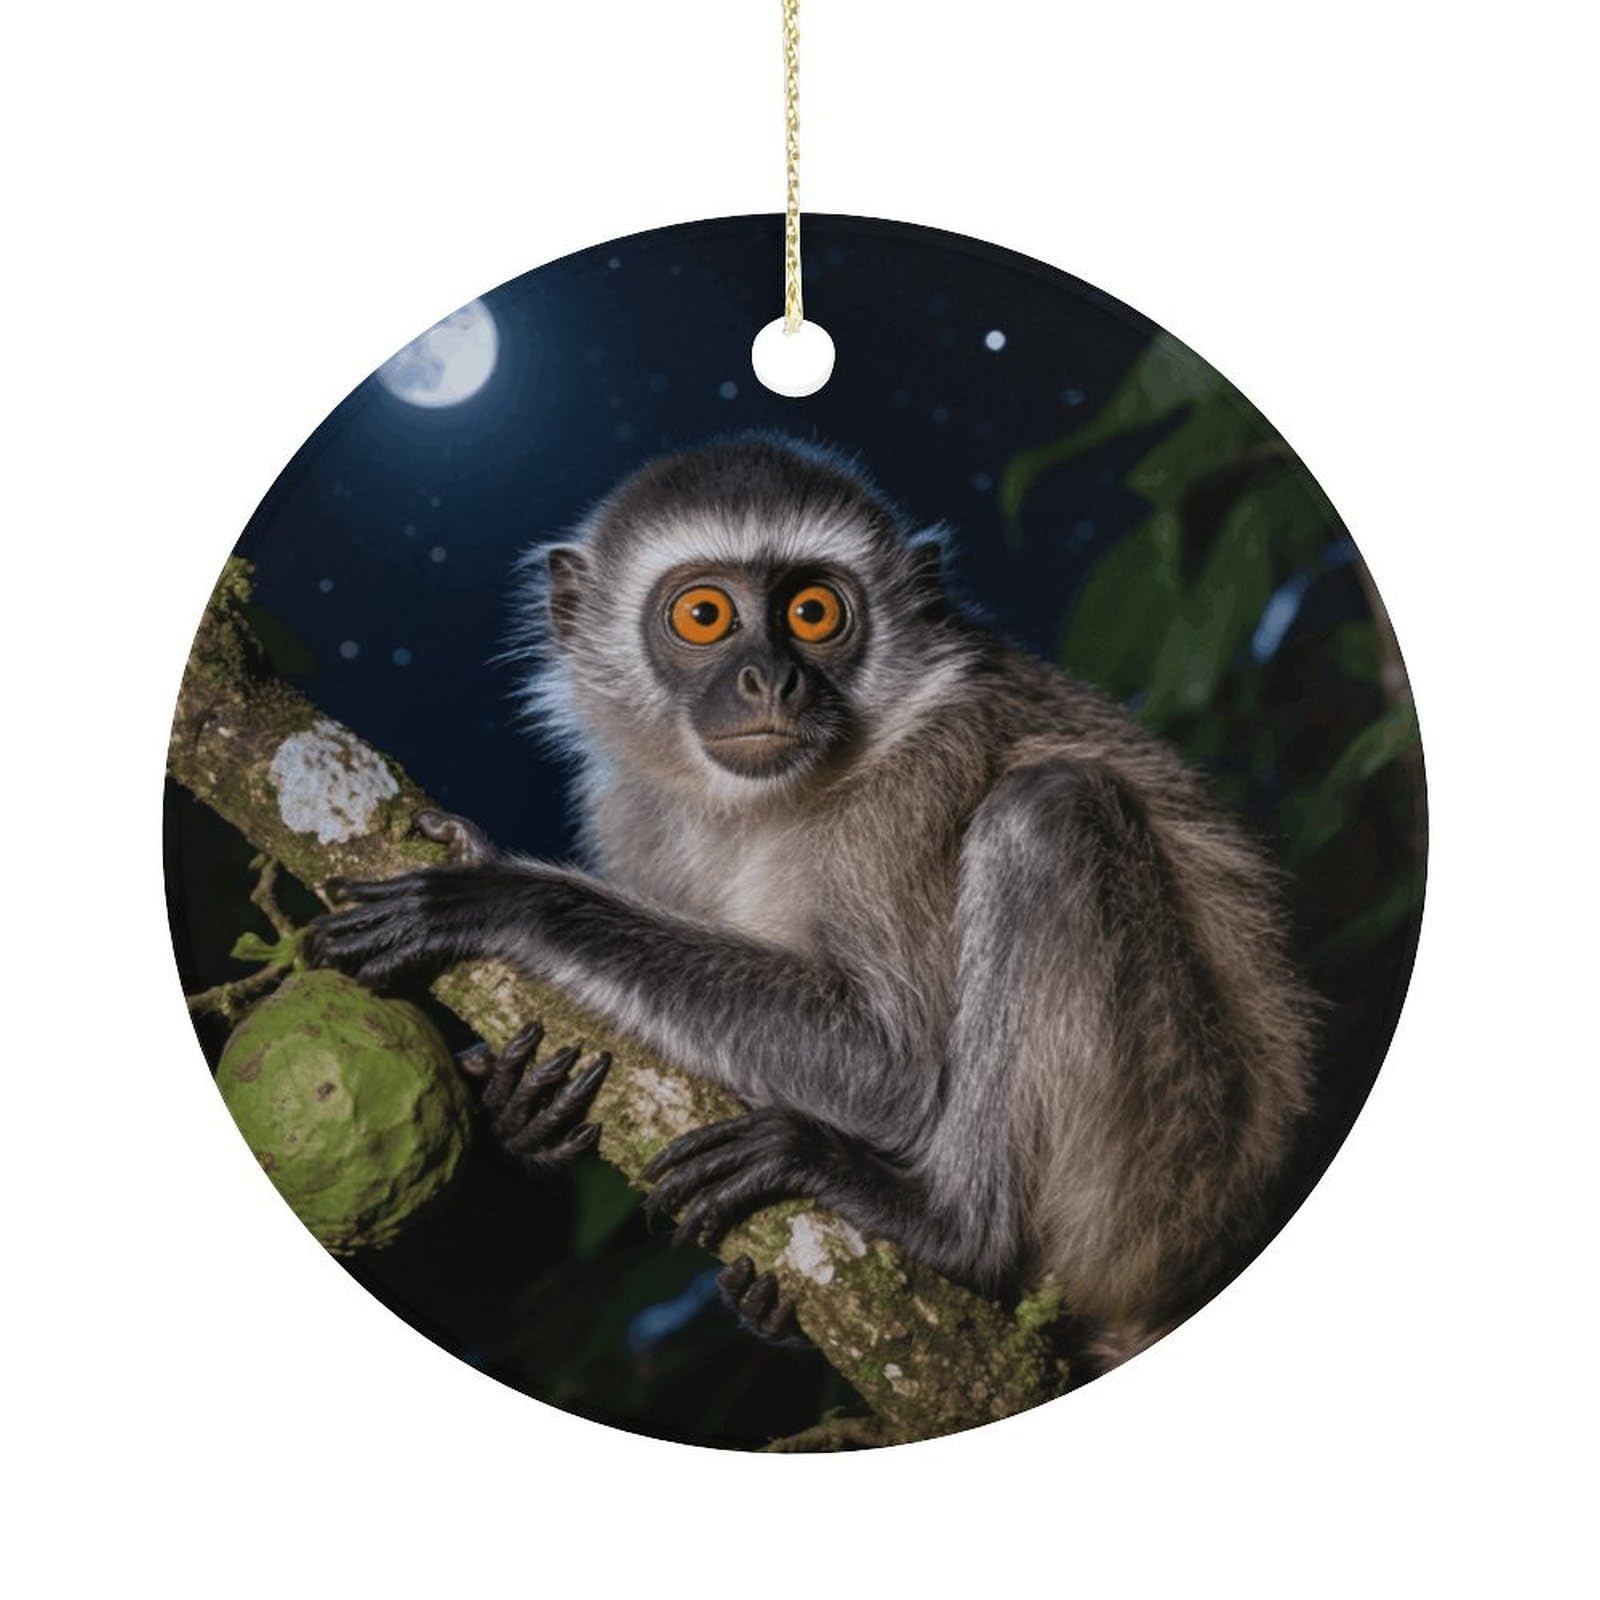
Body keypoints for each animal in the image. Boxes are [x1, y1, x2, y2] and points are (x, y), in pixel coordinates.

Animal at [306, 434, 1316, 1371]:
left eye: (813, 612)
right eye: (705, 615)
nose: (771, 678)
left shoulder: (916, 781)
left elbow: (896, 1064)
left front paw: (507, 898)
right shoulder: (626, 808)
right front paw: (529, 1105)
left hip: (1162, 1171)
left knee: (1049, 810)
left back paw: (950, 1227)